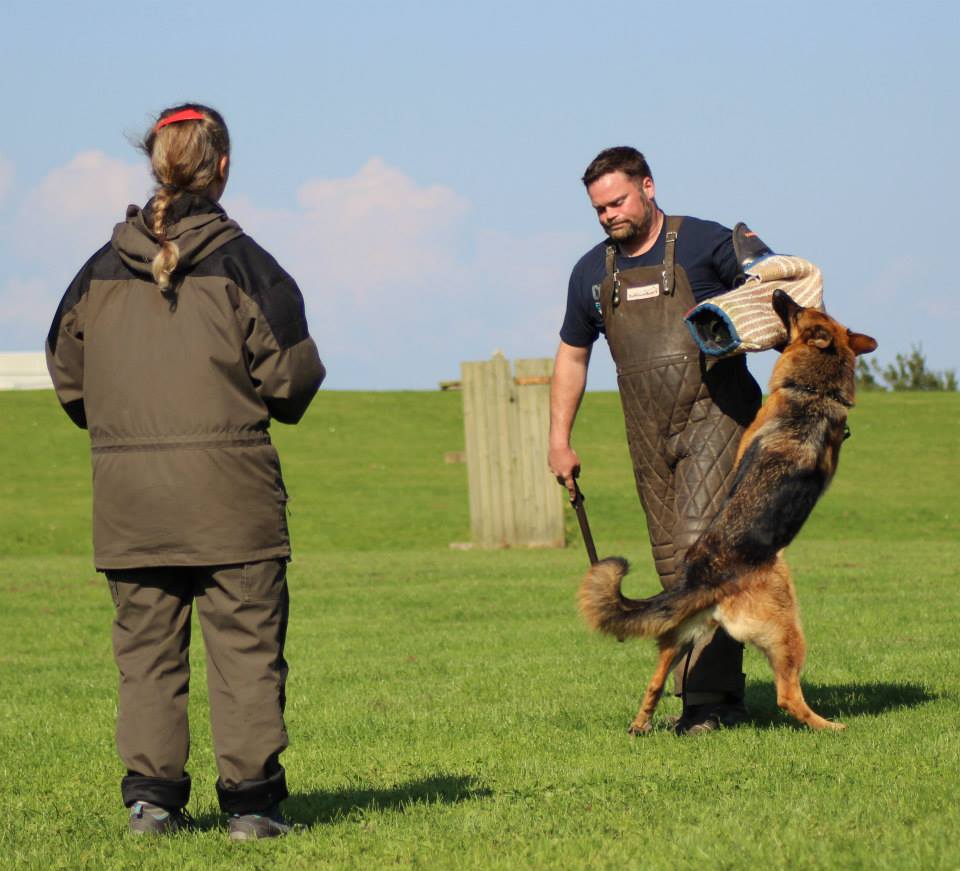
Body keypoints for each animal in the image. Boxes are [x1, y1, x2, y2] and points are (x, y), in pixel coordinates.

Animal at [576, 292, 876, 736]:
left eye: (797, 310)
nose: (778, 293)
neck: (815, 391)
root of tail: (703, 578)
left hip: (708, 634)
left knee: (670, 683)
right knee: (779, 694)